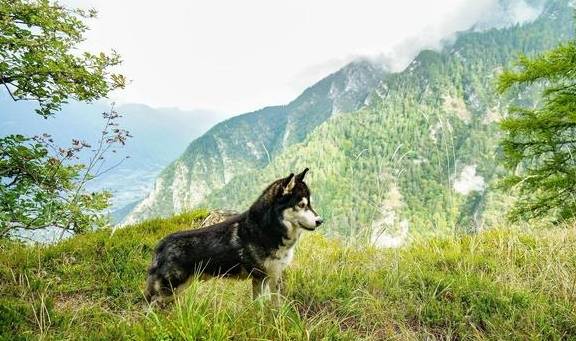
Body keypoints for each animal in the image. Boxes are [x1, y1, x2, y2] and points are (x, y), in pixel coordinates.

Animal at [144, 169, 322, 304]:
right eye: (301, 205)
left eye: (310, 204)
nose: (320, 221)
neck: (267, 229)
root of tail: (160, 246)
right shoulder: (260, 277)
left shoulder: (274, 275)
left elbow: (275, 304)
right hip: (168, 291)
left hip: (179, 289)